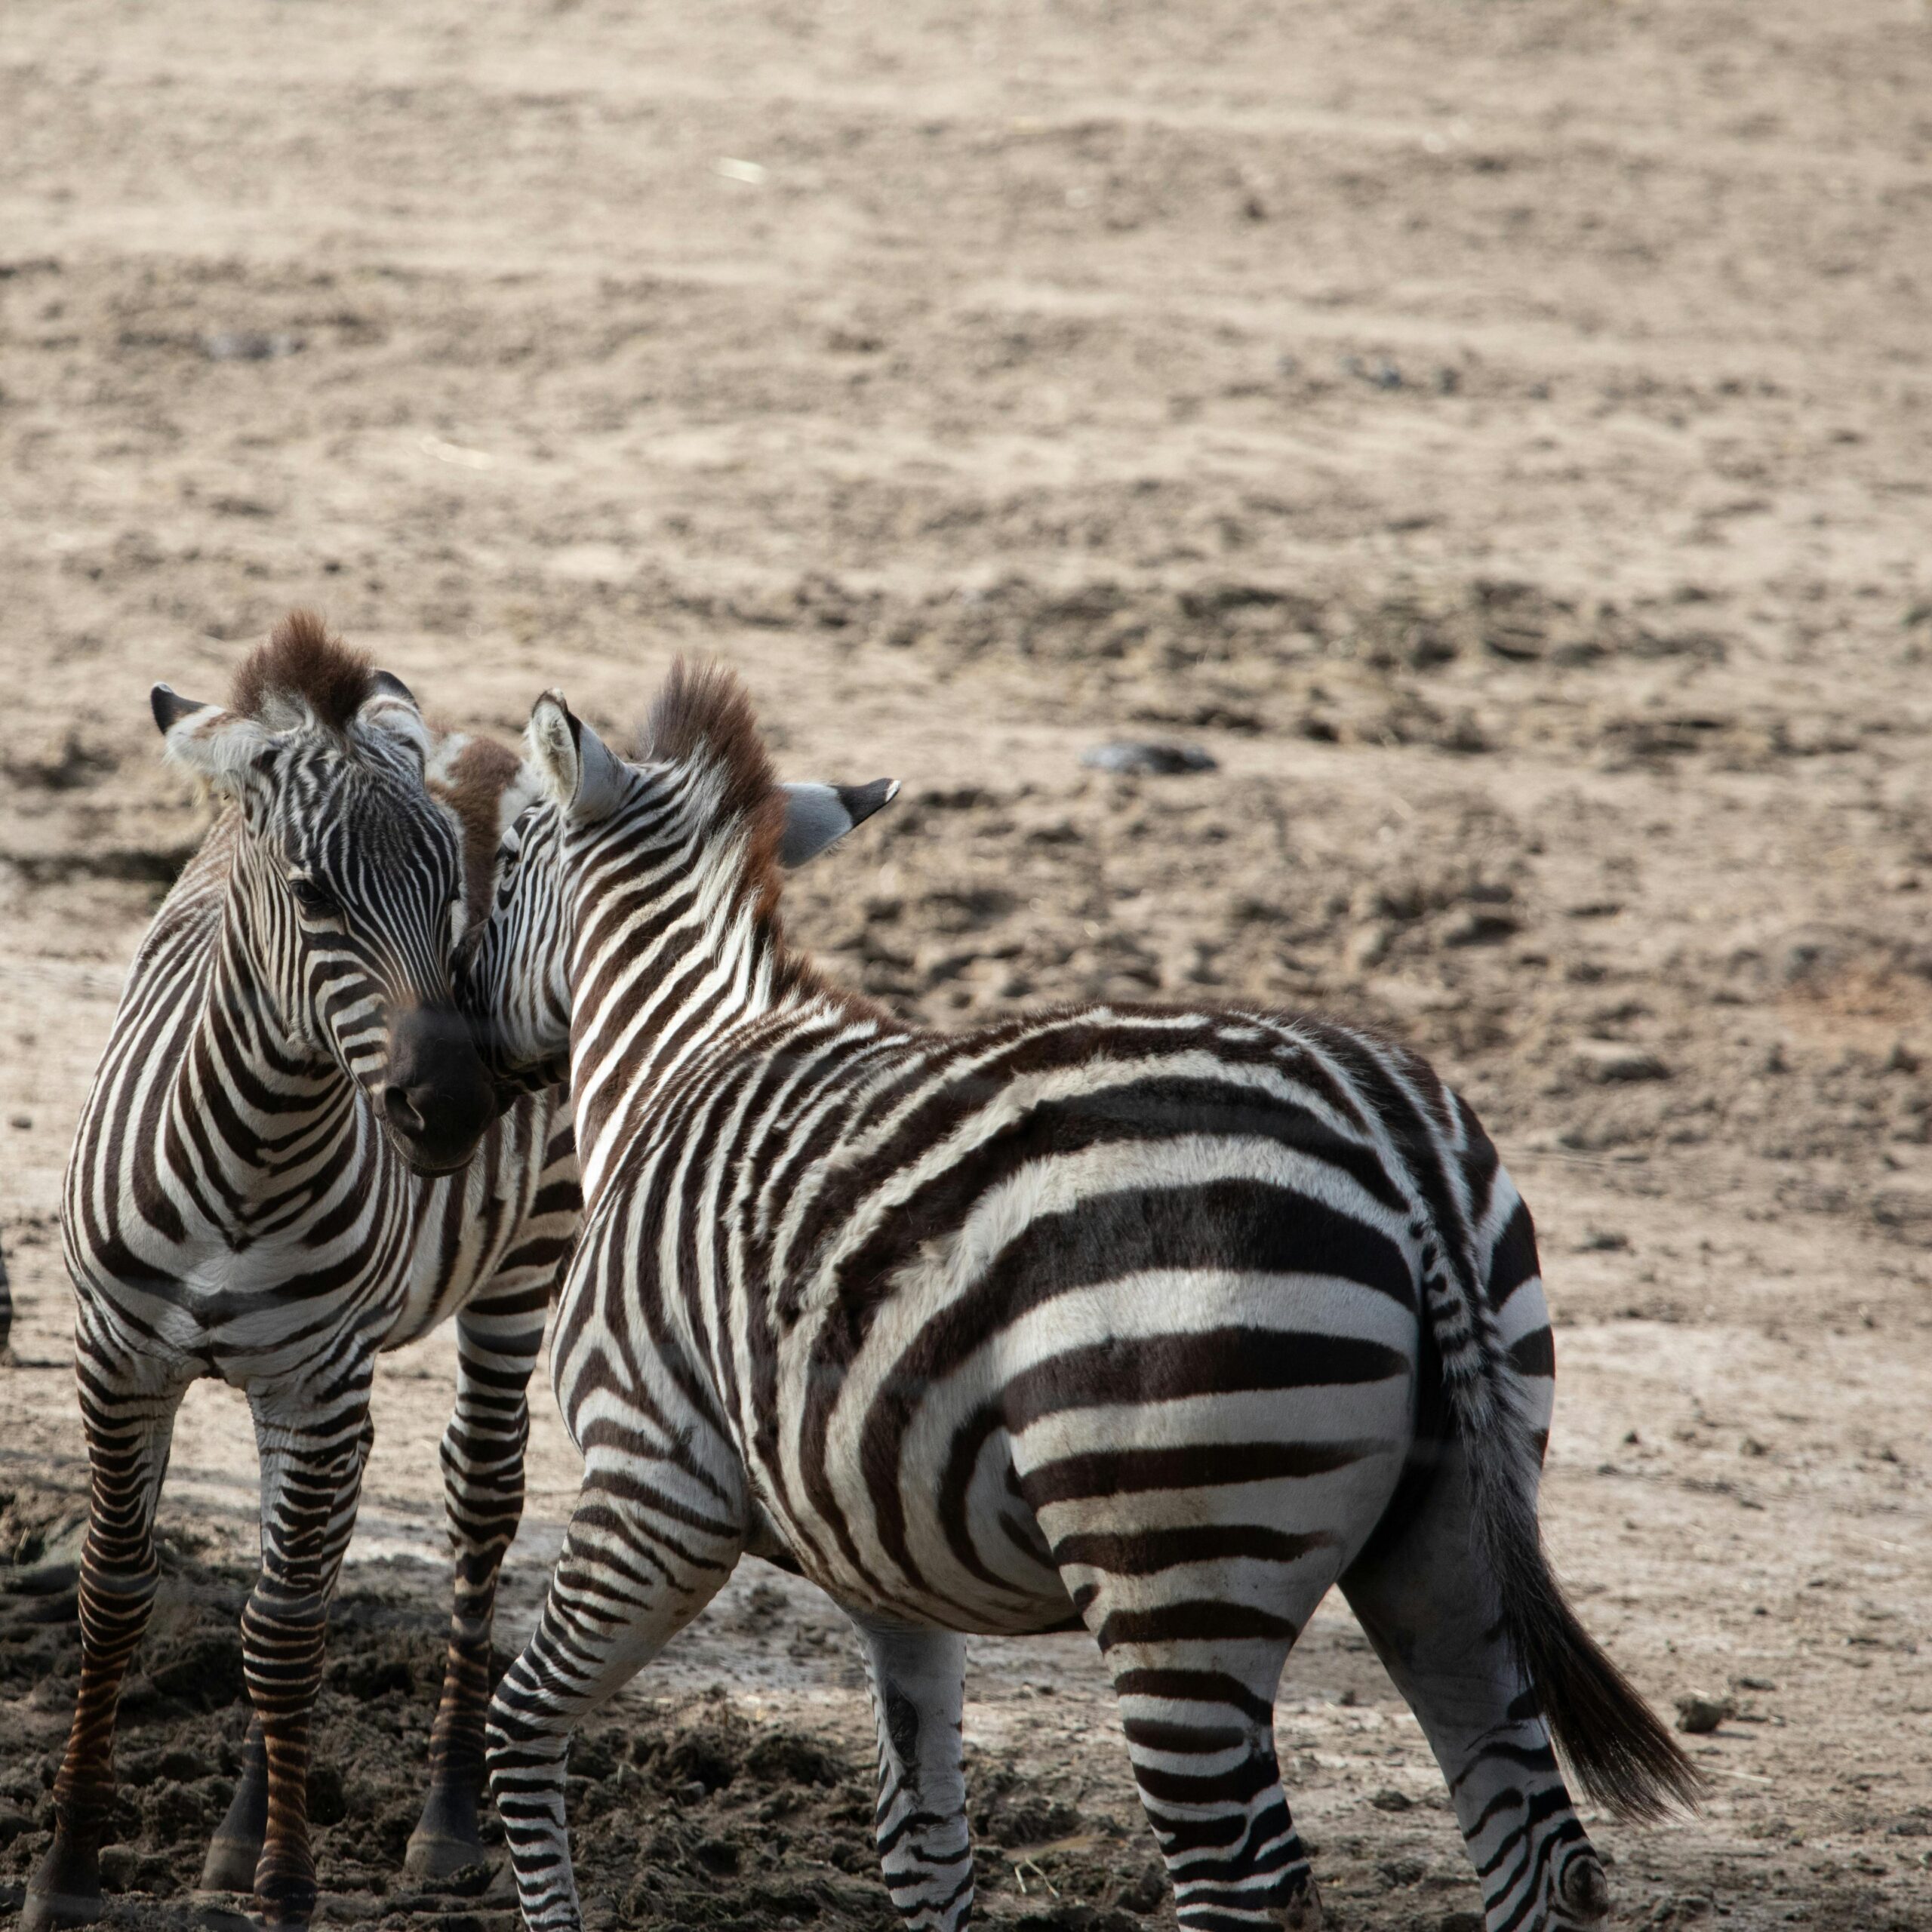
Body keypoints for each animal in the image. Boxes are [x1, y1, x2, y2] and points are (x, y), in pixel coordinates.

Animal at [24, 615, 580, 1932]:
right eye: (313, 896)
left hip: (518, 1270)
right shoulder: (118, 1363)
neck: (252, 1158)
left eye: (453, 895)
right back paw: (235, 1834)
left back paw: (443, 1823)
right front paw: (67, 1870)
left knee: (476, 1510)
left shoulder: (314, 1383)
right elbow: (117, 1598)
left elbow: (279, 1639)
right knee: (315, 1571)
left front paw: (286, 1889)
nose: (452, 1110)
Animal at [465, 662, 1700, 1932]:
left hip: (1173, 1571)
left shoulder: (655, 1484)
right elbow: (921, 1839)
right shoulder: (884, 1560)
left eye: (503, 863)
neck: (678, 1057)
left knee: (1243, 1877)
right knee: (1533, 1849)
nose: (453, 1060)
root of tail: (1394, 1149)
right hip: (1450, 1539)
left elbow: (522, 1730)